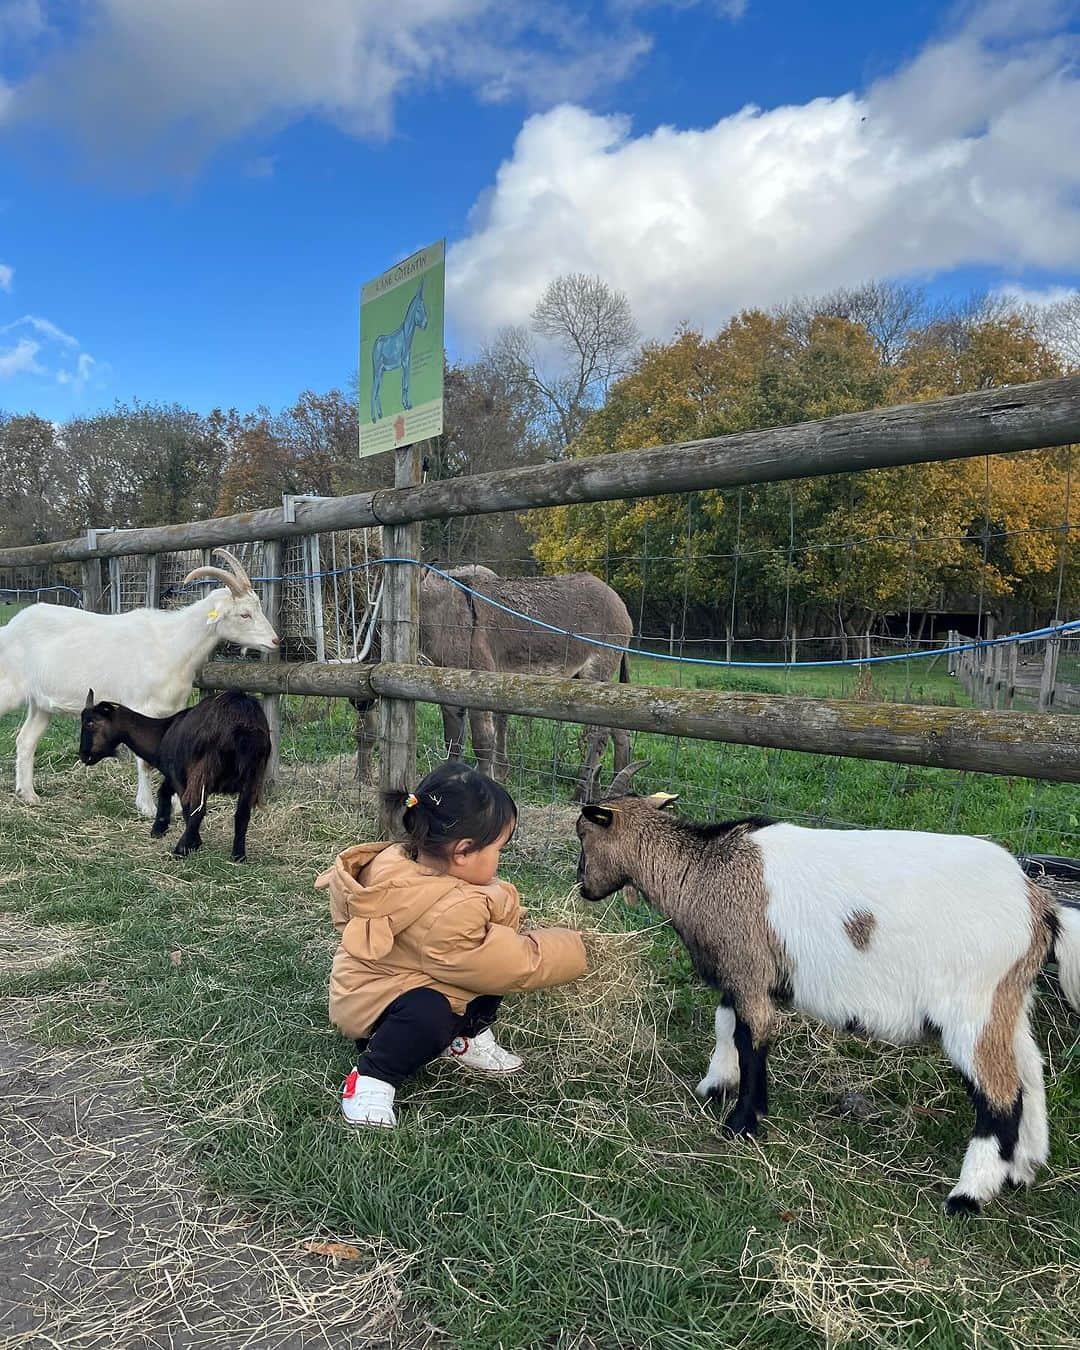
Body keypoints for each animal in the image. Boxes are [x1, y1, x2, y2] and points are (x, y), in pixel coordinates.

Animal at [1, 545, 278, 810]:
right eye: (244, 614)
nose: (275, 641)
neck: (172, 644)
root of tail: (9, 628)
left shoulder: (172, 709)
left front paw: (175, 804)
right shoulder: (140, 707)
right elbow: (145, 761)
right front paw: (147, 806)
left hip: (41, 703)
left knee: (26, 740)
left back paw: (28, 794)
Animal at [80, 691, 272, 858]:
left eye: (90, 723)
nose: (83, 755)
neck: (162, 734)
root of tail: (242, 722)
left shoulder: (181, 777)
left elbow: (187, 809)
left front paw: (192, 843)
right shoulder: (173, 776)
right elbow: (163, 792)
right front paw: (159, 828)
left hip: (203, 771)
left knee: (198, 810)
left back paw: (180, 850)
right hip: (252, 777)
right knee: (242, 815)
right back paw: (238, 855)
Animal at [577, 766, 1080, 1220]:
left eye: (584, 835)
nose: (583, 887)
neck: (705, 870)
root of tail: (1041, 909)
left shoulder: (748, 966)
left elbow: (750, 1039)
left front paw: (741, 1123)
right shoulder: (745, 973)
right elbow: (727, 1025)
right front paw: (715, 1086)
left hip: (970, 1007)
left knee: (1001, 1095)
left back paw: (968, 1195)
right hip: (1007, 1001)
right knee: (1030, 1073)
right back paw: (1023, 1169)